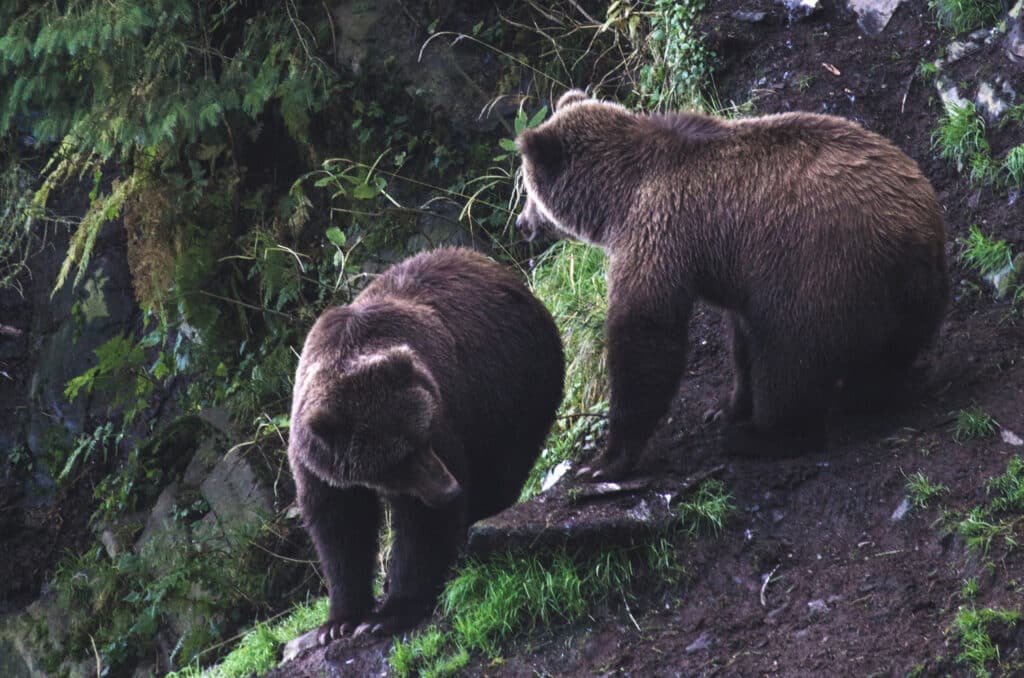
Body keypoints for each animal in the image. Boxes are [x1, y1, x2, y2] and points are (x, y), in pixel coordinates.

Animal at [284, 248, 565, 643]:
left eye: (423, 437)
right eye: (399, 458)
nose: (448, 489)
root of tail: (498, 269)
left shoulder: (443, 411)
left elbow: (421, 525)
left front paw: (391, 612)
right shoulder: (317, 468)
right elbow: (340, 530)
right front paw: (338, 621)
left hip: (513, 387)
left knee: (501, 469)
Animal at [520, 90, 950, 481]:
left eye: (527, 190)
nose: (523, 224)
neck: (617, 198)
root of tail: (920, 226)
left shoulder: (660, 230)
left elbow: (644, 334)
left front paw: (605, 461)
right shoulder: (732, 265)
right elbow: (738, 337)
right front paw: (726, 406)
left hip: (824, 269)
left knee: (789, 356)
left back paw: (762, 436)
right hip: (906, 291)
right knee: (886, 354)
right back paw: (865, 395)